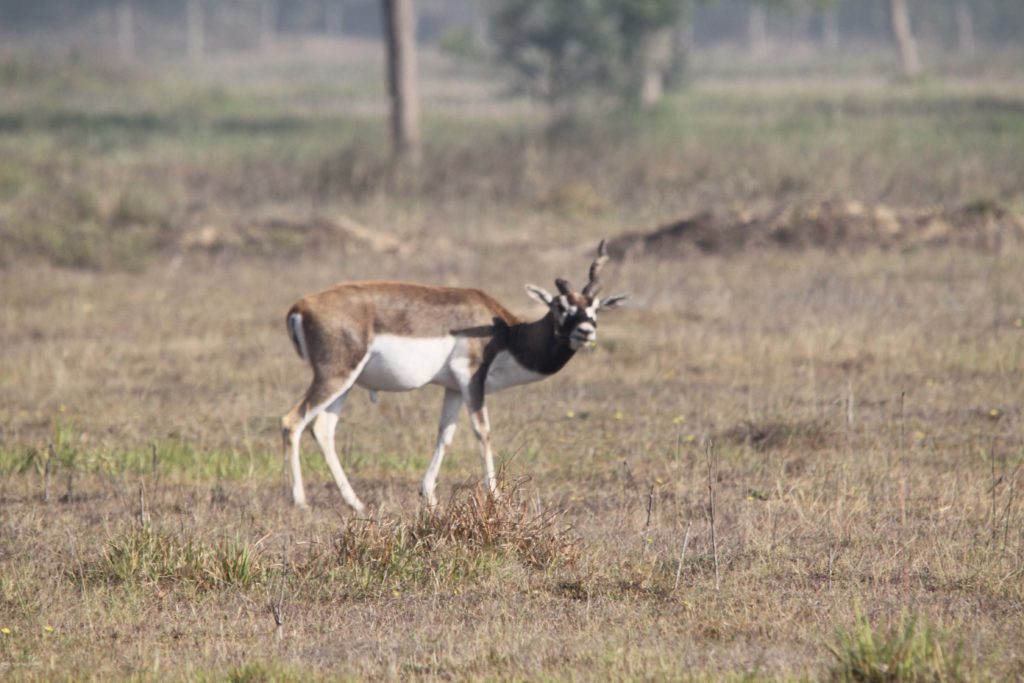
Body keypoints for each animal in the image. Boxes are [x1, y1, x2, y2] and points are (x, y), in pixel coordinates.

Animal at [284, 240, 626, 511]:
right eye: (560, 306)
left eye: (595, 307)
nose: (586, 331)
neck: (504, 330)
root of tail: (300, 306)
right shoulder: (471, 378)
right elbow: (482, 432)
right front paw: (495, 497)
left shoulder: (453, 388)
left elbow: (445, 436)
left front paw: (428, 495)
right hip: (335, 376)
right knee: (292, 421)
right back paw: (300, 501)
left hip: (346, 383)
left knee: (322, 429)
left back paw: (355, 503)